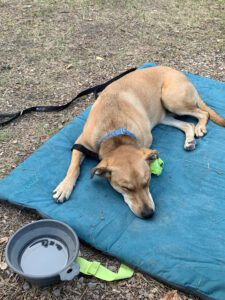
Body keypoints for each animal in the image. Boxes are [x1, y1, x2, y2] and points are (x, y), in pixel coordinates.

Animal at [53, 66, 225, 218]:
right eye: (125, 188)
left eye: (147, 182)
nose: (148, 214)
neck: (114, 134)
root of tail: (180, 73)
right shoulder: (80, 143)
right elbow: (74, 167)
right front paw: (64, 187)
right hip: (165, 115)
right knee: (188, 124)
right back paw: (189, 140)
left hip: (172, 100)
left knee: (203, 113)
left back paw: (200, 127)